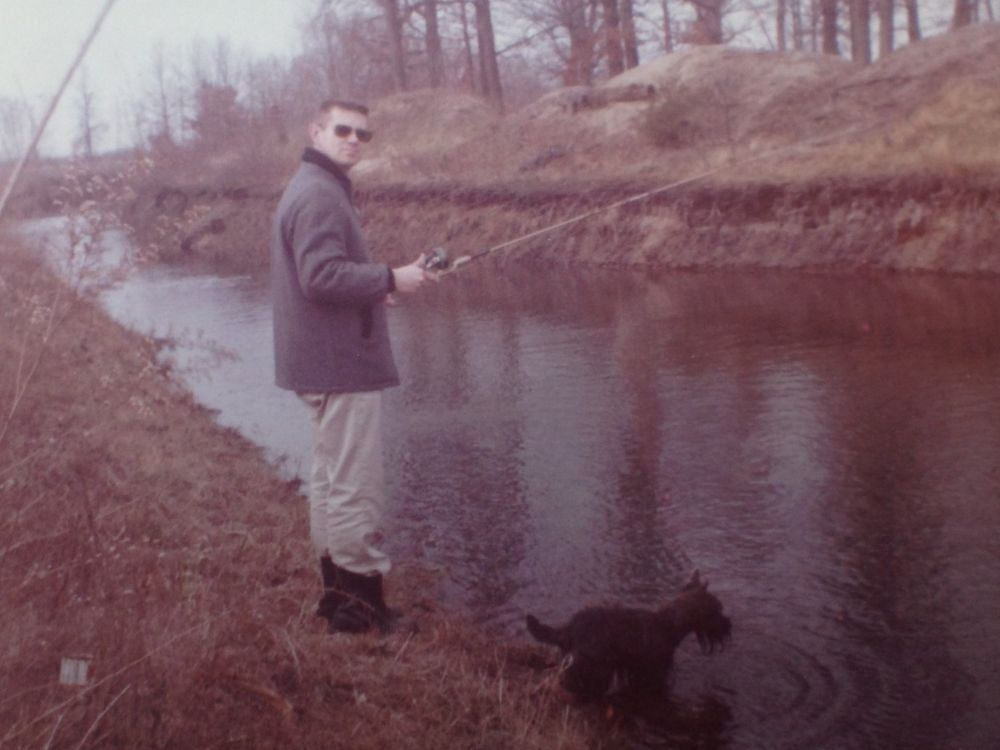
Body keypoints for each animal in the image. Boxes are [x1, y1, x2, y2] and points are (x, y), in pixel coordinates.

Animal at [528, 572, 732, 704]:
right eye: (717, 608)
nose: (728, 625)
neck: (670, 624)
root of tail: (568, 628)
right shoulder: (652, 674)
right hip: (591, 670)